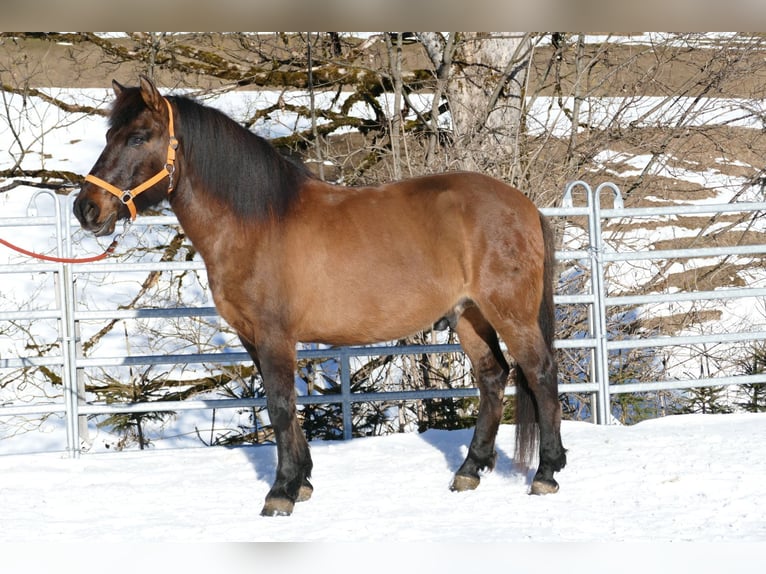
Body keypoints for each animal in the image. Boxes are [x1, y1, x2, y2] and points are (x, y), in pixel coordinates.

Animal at [73, 75, 564, 516]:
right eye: (109, 134)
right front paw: (303, 481)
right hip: (469, 315)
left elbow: (280, 405)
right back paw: (469, 470)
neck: (256, 223)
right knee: (492, 376)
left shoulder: (275, 335)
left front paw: (282, 492)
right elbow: (284, 407)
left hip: (509, 312)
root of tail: (524, 205)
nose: (86, 209)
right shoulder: (253, 338)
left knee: (539, 372)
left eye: (139, 137)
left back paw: (546, 473)